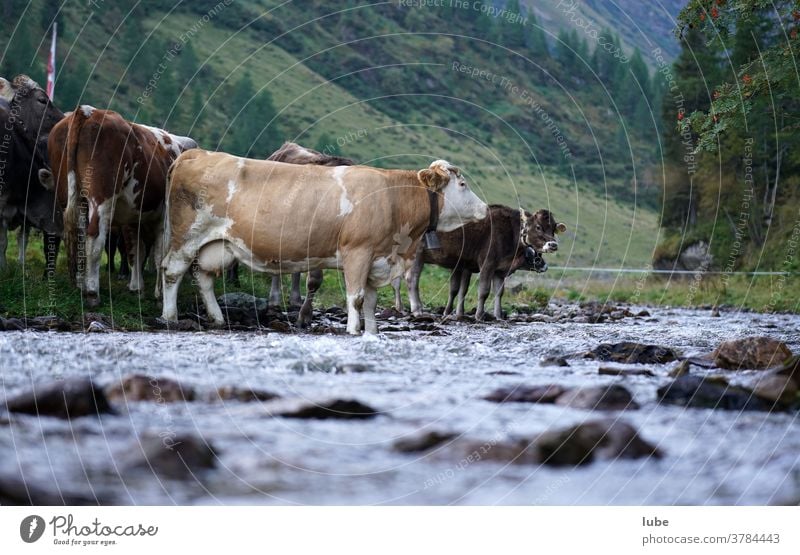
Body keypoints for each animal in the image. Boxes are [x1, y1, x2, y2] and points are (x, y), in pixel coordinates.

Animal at [39, 106, 197, 306]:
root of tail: (88, 111)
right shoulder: (163, 218)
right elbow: (158, 254)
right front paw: (159, 294)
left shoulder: (134, 218)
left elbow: (136, 250)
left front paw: (136, 287)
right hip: (102, 197)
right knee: (94, 238)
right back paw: (92, 292)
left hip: (69, 196)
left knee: (77, 237)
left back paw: (80, 285)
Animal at [160, 151, 488, 334]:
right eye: (462, 184)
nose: (485, 208)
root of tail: (196, 153)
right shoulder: (358, 251)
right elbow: (356, 298)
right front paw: (354, 330)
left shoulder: (377, 259)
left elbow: (370, 300)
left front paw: (372, 331)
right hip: (187, 235)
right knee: (172, 271)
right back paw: (169, 316)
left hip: (216, 244)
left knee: (203, 277)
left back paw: (216, 318)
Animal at [404, 205, 564, 320]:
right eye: (538, 226)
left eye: (554, 228)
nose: (553, 245)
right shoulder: (486, 264)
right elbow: (483, 291)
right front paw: (479, 315)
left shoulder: (499, 271)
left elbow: (498, 292)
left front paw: (498, 316)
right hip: (417, 255)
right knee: (413, 279)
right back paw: (417, 310)